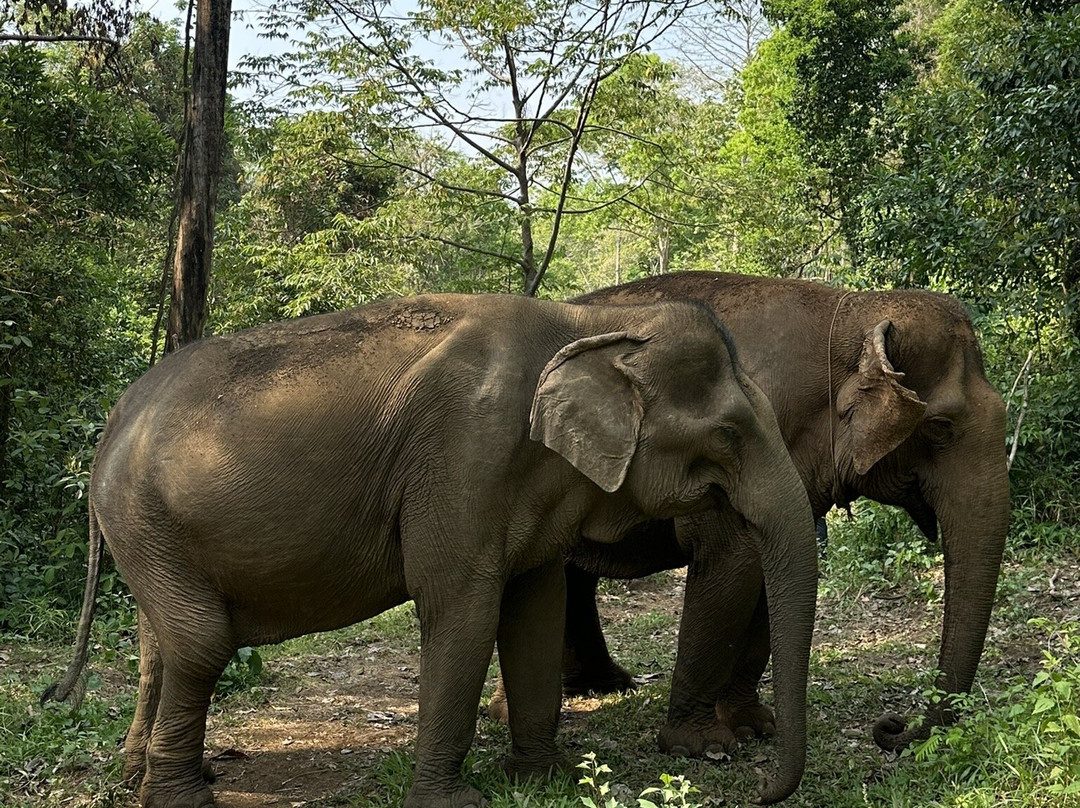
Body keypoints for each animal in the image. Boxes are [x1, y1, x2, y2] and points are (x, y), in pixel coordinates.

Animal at [43, 292, 819, 808]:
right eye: (728, 435)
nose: (753, 782)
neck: (585, 326)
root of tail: (112, 419)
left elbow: (535, 609)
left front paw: (545, 780)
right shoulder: (462, 457)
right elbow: (462, 607)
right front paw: (454, 801)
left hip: (150, 534)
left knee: (160, 644)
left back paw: (147, 775)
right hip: (145, 519)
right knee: (202, 644)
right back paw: (182, 796)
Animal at [486, 271, 1009, 757]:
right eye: (940, 426)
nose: (891, 727)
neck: (851, 310)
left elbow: (769, 576)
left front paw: (755, 727)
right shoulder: (729, 448)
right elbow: (735, 566)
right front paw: (703, 746)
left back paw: (604, 685)